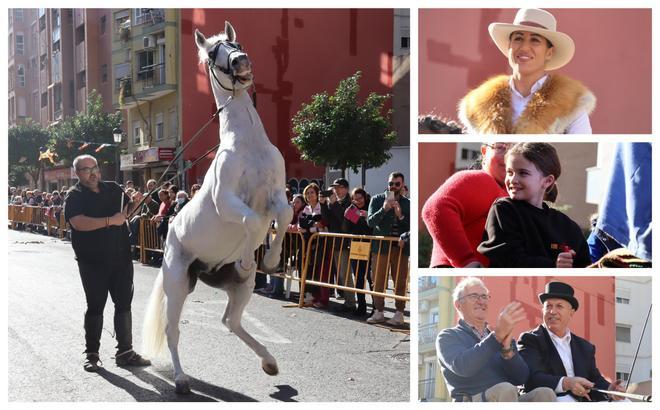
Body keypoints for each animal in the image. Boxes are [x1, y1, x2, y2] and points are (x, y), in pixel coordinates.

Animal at [143, 21, 292, 394]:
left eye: (234, 41)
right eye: (212, 53)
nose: (241, 61)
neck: (248, 144)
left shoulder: (277, 195)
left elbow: (284, 216)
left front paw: (270, 260)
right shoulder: (227, 201)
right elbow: (252, 221)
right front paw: (248, 256)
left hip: (241, 288)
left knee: (230, 321)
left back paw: (270, 362)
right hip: (177, 282)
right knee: (172, 330)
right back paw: (181, 379)